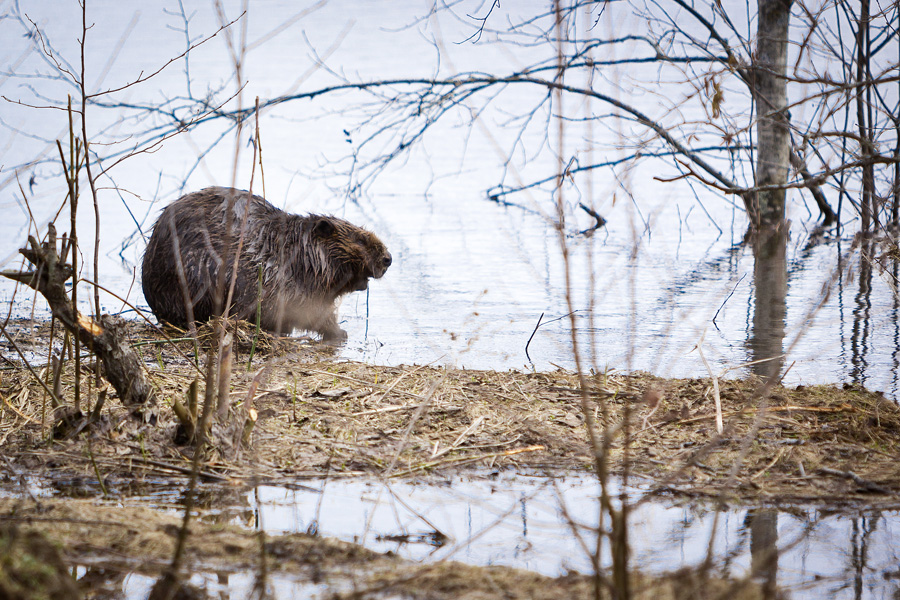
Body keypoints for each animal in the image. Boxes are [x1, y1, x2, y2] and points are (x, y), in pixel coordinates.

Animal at [142, 185, 390, 340]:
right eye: (360, 239)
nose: (388, 258)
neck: (299, 253)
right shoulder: (289, 285)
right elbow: (312, 313)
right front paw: (340, 333)